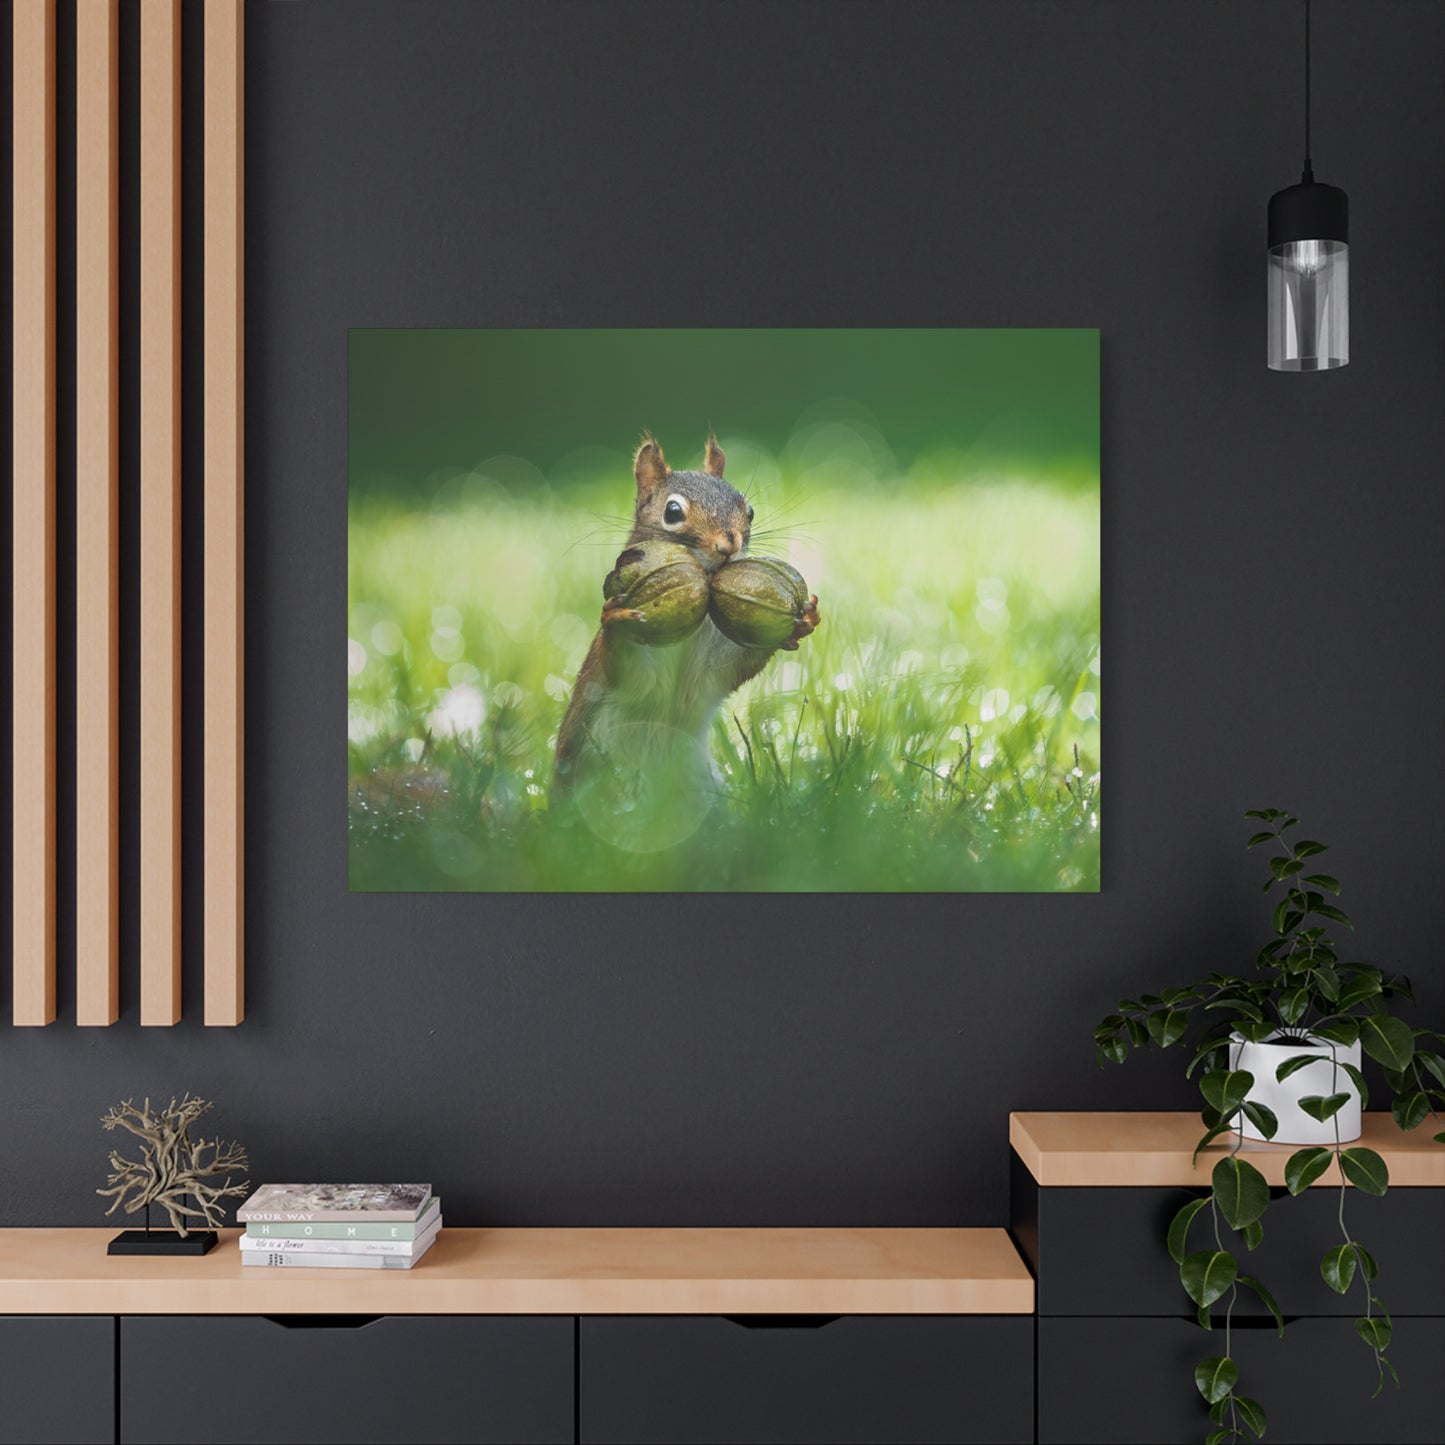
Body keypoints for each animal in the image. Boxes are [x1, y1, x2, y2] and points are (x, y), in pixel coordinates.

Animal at [553, 431, 820, 814]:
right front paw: (615, 619)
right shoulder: (629, 680)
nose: (728, 544)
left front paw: (803, 620)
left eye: (749, 511)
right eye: (673, 512)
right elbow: (625, 665)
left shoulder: (710, 674)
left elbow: (737, 665)